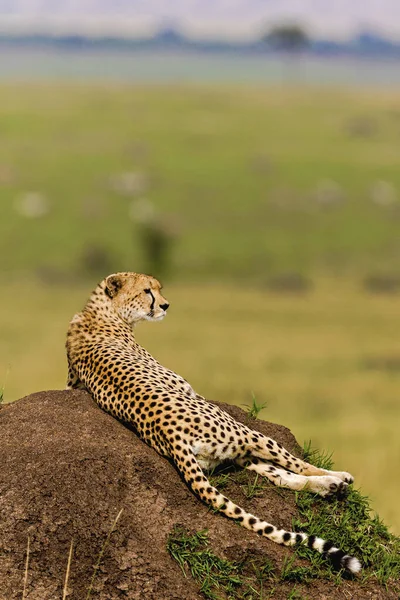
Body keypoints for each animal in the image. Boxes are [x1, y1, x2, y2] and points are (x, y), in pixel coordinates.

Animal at [66, 274, 362, 576]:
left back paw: (329, 486)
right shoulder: (192, 392)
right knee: (295, 464)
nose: (165, 305)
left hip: (227, 450)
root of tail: (172, 433)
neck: (100, 311)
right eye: (147, 291)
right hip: (244, 432)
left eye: (158, 289)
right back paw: (339, 478)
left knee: (279, 475)